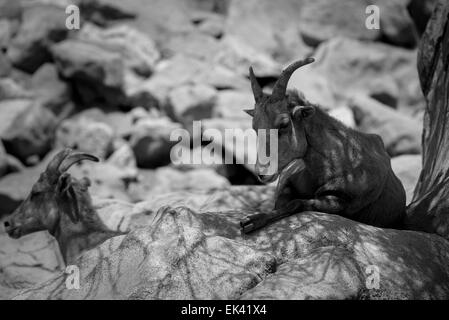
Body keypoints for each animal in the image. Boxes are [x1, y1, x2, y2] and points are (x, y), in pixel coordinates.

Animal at [242, 57, 406, 232]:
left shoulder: (339, 201)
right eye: (255, 127)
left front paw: (251, 221)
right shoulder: (288, 183)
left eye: (284, 124)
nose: (262, 173)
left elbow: (296, 203)